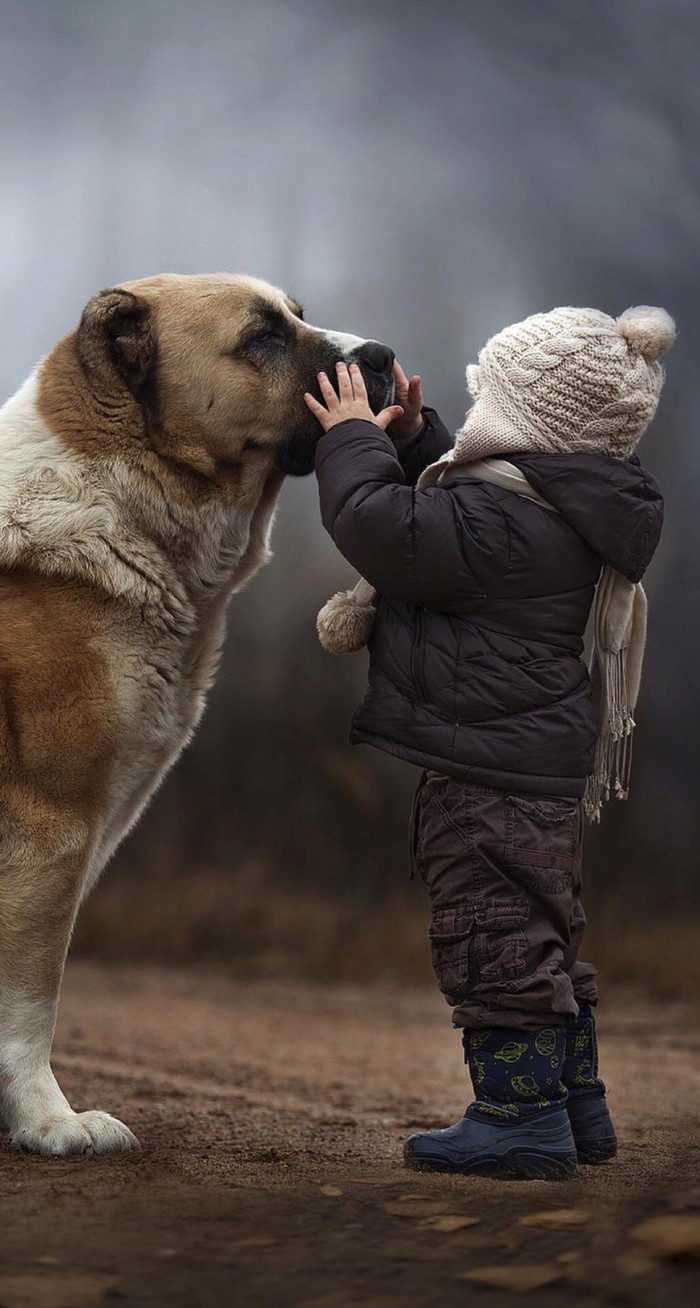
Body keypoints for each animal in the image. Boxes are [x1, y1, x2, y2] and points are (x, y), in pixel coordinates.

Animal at [0, 270, 395, 1151]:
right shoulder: (51, 827)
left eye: (299, 318)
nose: (385, 356)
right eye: (263, 337)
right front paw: (50, 1121)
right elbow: (31, 998)